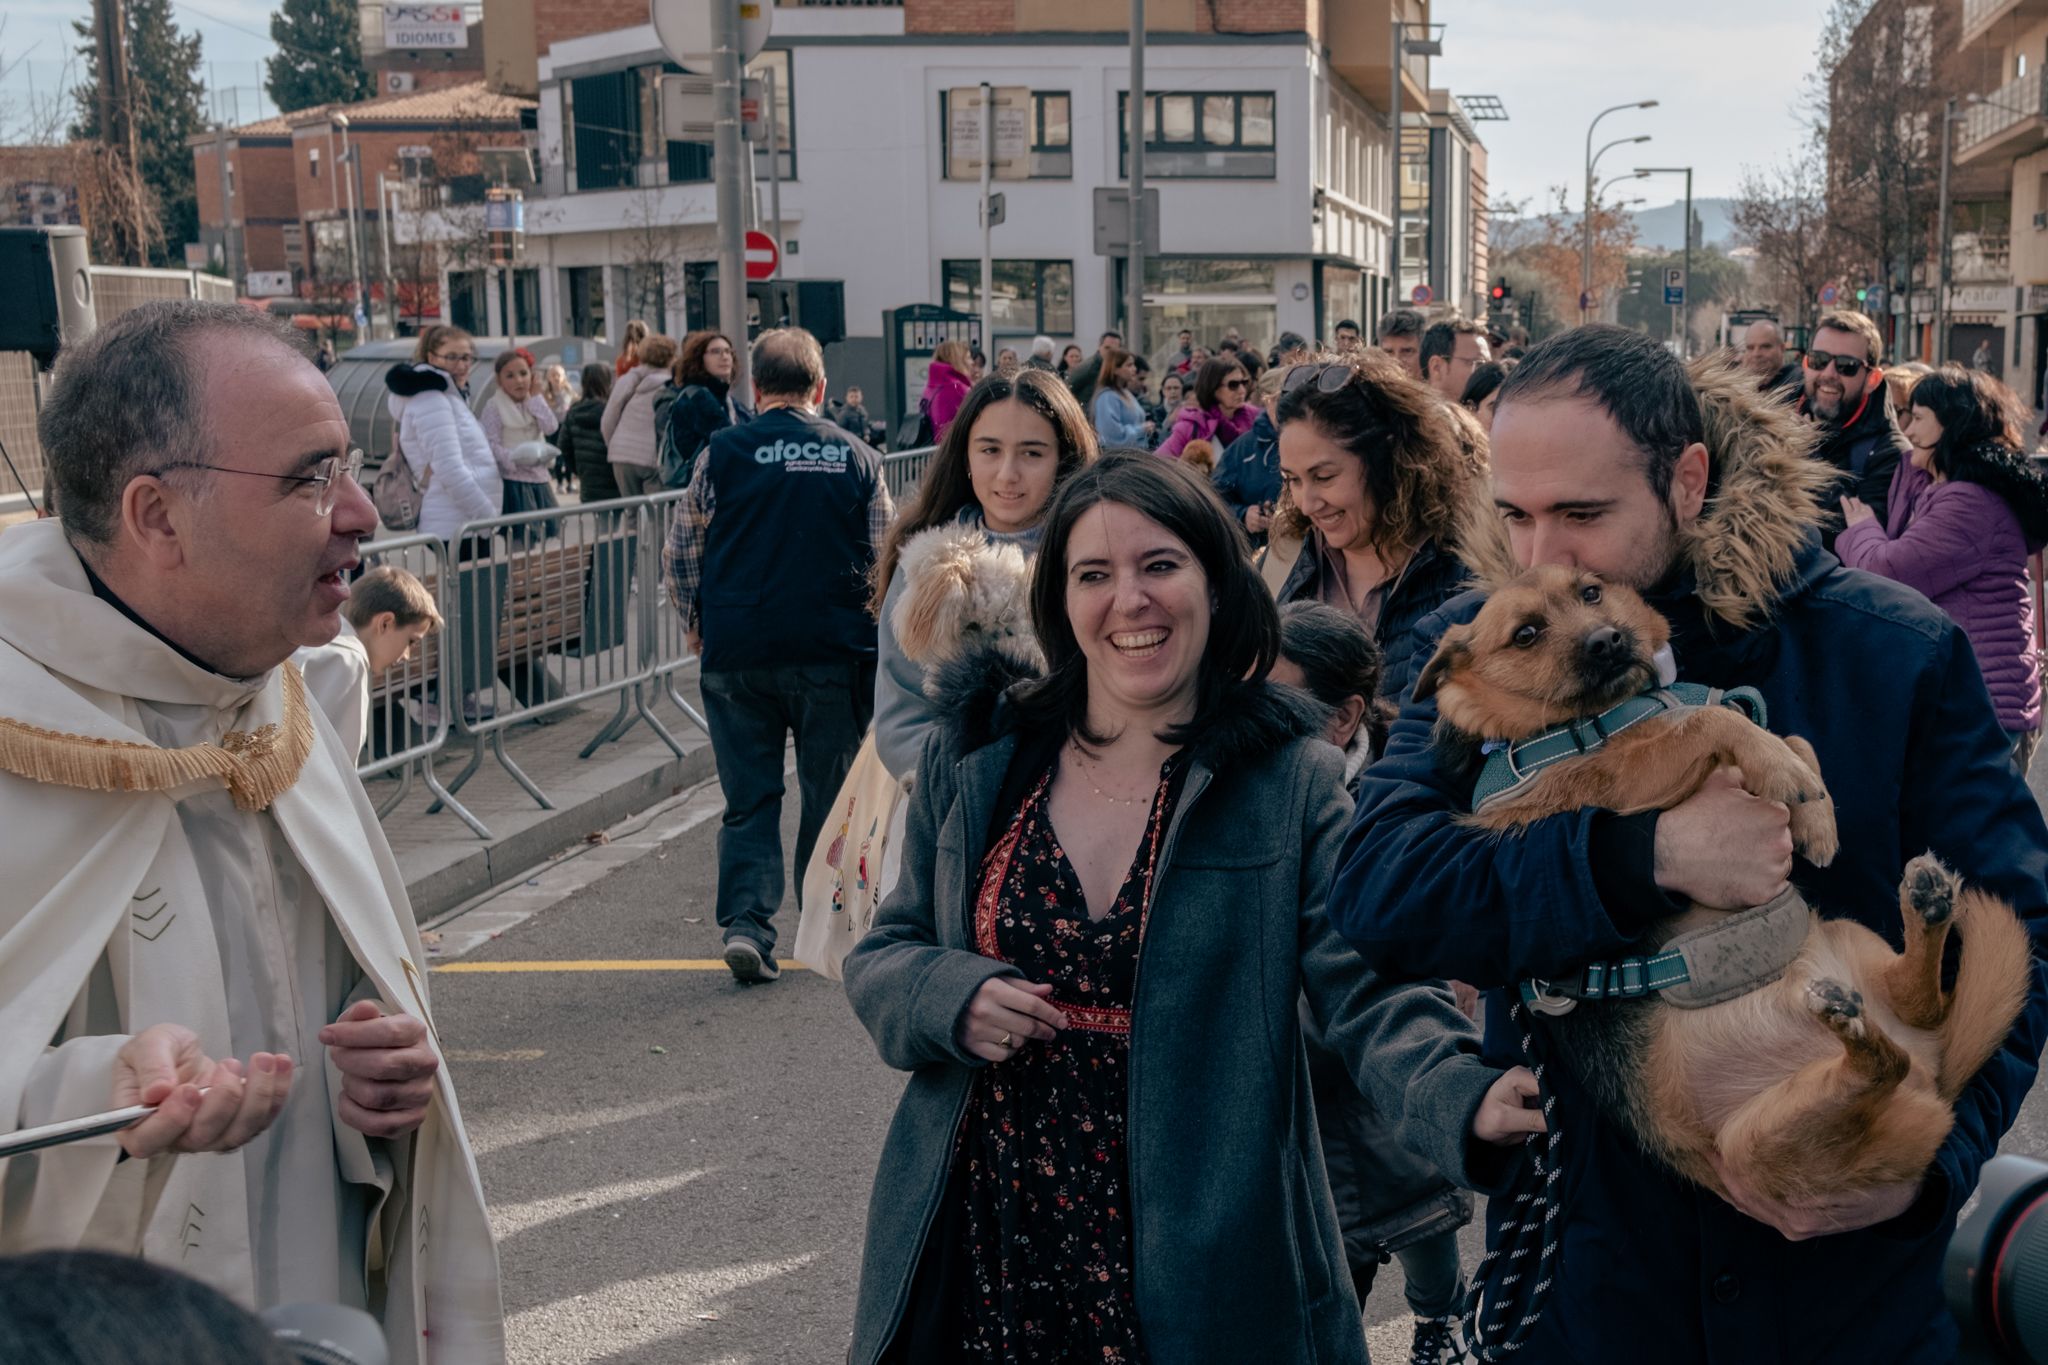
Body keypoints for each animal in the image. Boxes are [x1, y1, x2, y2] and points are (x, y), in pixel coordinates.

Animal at [1417, 564, 2039, 1203]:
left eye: (1591, 592)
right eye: (1525, 634)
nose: (1608, 640)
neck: (1602, 716)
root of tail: (1935, 1079)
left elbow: (1784, 735)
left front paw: (1813, 809)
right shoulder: (1615, 781)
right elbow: (1709, 719)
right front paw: (1785, 776)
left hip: (1850, 948)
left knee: (1926, 1005)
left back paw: (1926, 907)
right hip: (1753, 1150)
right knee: (1884, 1062)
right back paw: (1854, 1020)